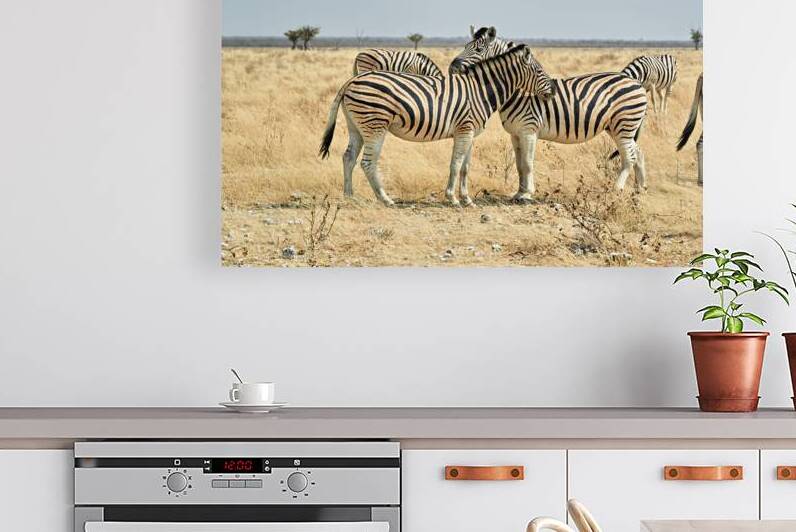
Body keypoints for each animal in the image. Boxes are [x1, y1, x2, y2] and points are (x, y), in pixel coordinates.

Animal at [319, 44, 554, 206]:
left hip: (355, 126)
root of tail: (352, 81)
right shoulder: (464, 130)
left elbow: (465, 167)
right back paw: (385, 199)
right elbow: (455, 164)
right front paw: (453, 198)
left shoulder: (469, 133)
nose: (552, 90)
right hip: (374, 124)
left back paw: (350, 197)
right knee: (367, 163)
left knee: (348, 157)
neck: (480, 91)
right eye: (539, 71)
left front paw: (467, 199)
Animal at [450, 27, 648, 200]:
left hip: (625, 124)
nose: (452, 67)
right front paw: (519, 193)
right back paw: (639, 189)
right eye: (465, 45)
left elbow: (528, 163)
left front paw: (527, 194)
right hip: (618, 127)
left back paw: (616, 190)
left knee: (629, 157)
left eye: (478, 48)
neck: (518, 92)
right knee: (638, 153)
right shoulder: (515, 134)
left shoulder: (529, 131)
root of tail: (634, 81)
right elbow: (519, 165)